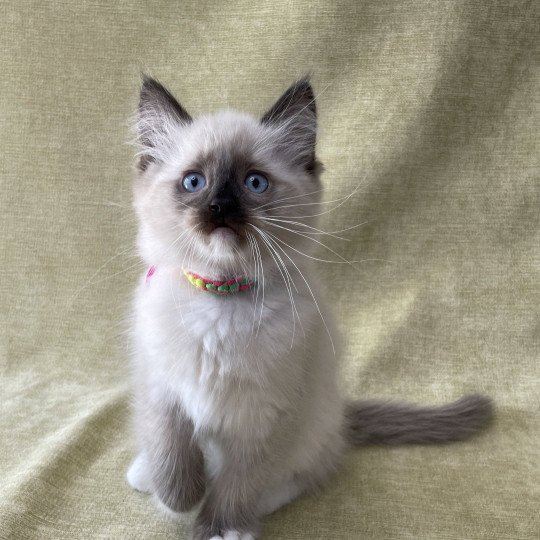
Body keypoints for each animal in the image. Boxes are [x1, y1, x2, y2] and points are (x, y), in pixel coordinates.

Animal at [127, 77, 494, 540]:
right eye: (194, 182)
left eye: (254, 183)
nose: (220, 208)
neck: (221, 299)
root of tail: (341, 415)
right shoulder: (161, 390)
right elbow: (171, 456)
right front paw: (180, 498)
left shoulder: (266, 416)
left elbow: (237, 482)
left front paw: (219, 528)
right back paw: (144, 475)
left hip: (309, 426)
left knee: (299, 473)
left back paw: (259, 505)